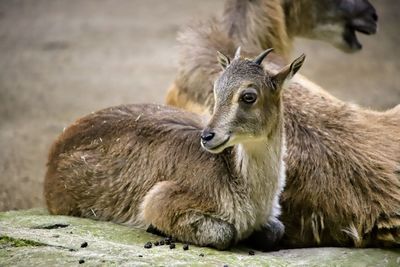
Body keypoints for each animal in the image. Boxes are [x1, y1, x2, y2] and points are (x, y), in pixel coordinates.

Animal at [43, 49, 304, 251]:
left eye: (248, 96)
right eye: (216, 90)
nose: (207, 136)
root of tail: (56, 149)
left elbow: (276, 230)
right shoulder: (159, 197)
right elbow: (224, 233)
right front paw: (155, 228)